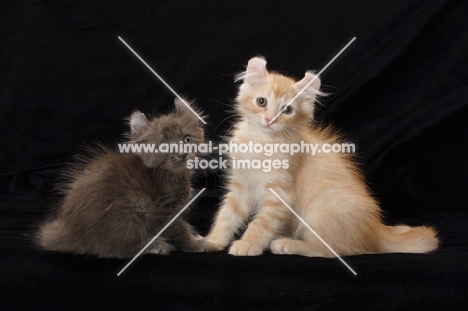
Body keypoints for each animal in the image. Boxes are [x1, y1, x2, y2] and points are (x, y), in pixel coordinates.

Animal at [36, 99, 205, 258]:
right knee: (114, 248)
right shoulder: (165, 210)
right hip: (132, 207)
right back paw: (155, 246)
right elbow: (179, 229)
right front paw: (194, 244)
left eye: (187, 139)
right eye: (165, 147)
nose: (183, 154)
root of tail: (71, 231)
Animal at [205, 57, 438, 258]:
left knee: (331, 250)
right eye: (261, 102)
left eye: (287, 110)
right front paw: (212, 241)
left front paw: (248, 243)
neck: (262, 142)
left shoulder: (280, 195)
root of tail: (375, 231)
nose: (270, 120)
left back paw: (288, 244)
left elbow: (259, 223)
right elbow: (226, 216)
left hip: (321, 204)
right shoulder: (240, 186)